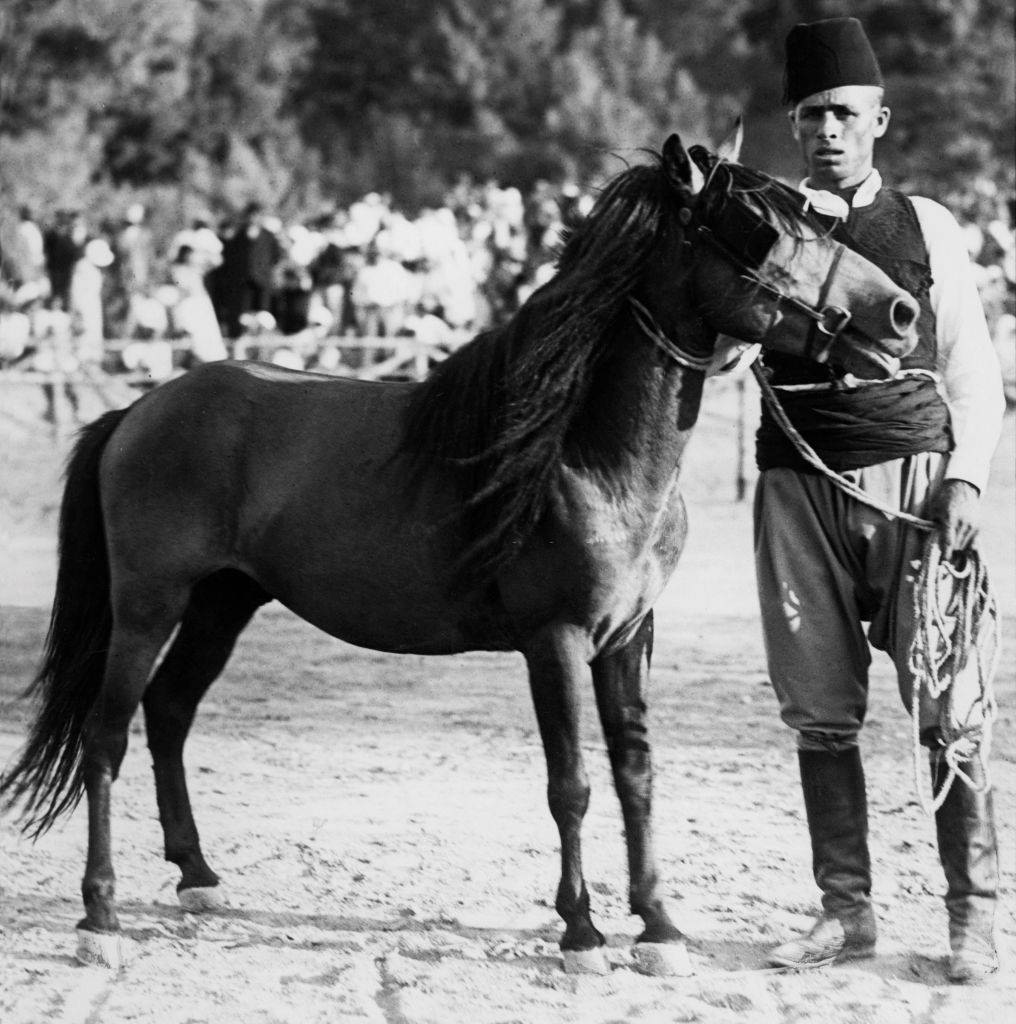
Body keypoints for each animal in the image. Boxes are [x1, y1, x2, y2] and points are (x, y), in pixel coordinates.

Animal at [1, 131, 920, 974]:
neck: (578, 452)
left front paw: (659, 927)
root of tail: (139, 410)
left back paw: (197, 876)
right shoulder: (555, 641)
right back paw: (99, 916)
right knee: (106, 736)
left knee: (168, 714)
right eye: (760, 231)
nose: (901, 313)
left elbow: (636, 773)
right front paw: (582, 933)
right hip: (147, 606)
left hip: (222, 605)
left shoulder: (628, 638)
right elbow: (571, 783)